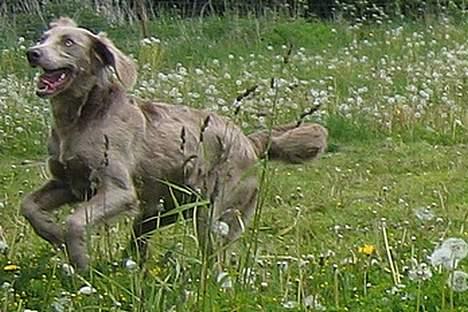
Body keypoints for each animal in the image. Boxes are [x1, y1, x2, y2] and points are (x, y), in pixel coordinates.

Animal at [22, 17, 328, 270]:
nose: (32, 53)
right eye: (43, 37)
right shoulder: (68, 182)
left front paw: (79, 260)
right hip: (157, 210)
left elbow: (74, 223)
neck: (80, 118)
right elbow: (28, 205)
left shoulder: (118, 190)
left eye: (68, 42)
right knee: (140, 244)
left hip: (212, 212)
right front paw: (51, 232)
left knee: (215, 258)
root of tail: (249, 141)